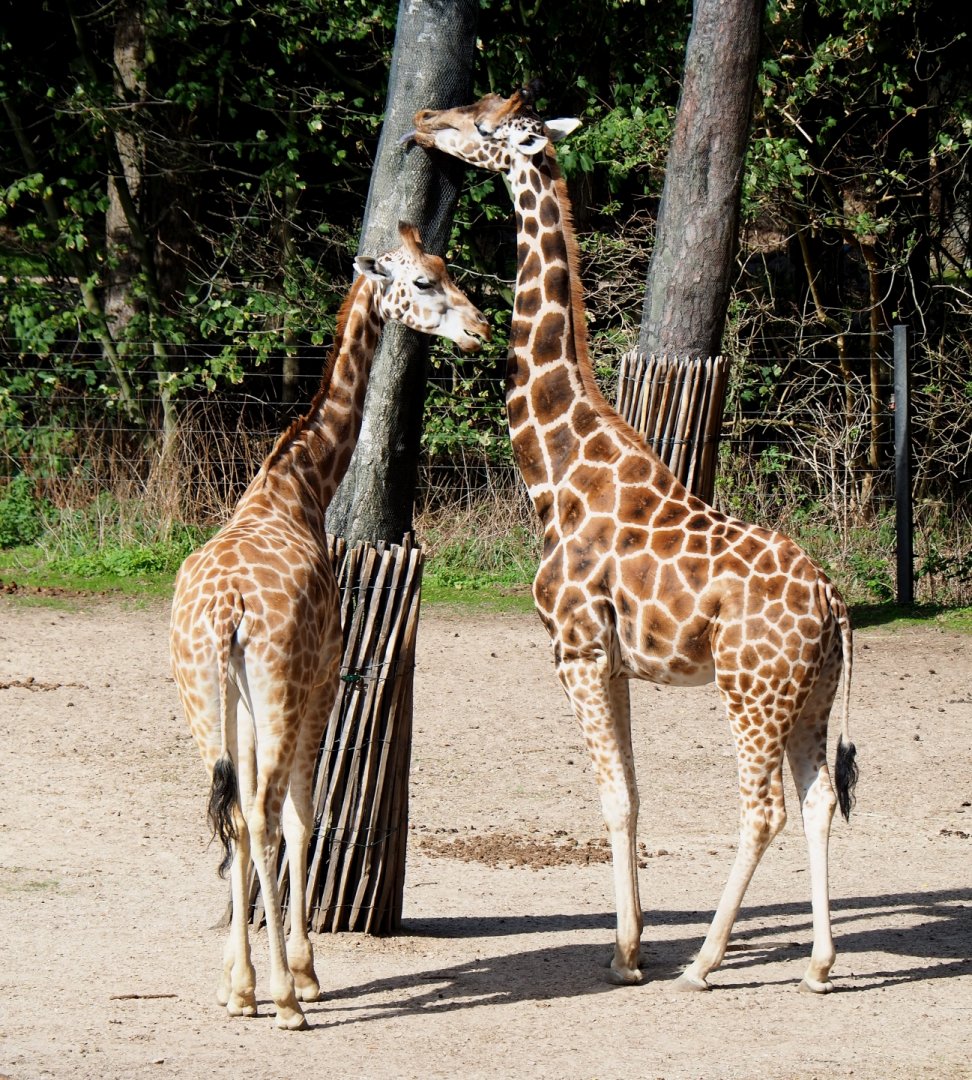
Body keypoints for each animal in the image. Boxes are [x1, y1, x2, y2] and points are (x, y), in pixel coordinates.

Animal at [170, 222, 489, 1029]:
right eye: (425, 280)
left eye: (445, 266)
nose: (479, 329)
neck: (300, 483)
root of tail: (225, 612)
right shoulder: (322, 679)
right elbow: (302, 817)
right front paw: (304, 975)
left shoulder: (247, 701)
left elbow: (259, 817)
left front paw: (239, 984)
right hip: (280, 689)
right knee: (263, 811)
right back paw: (289, 1000)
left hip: (202, 697)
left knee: (232, 812)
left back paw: (247, 990)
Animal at [408, 91, 859, 993]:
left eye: (484, 123)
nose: (423, 122)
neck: (556, 474)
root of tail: (834, 605)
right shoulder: (613, 662)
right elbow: (635, 797)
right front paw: (634, 942)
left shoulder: (575, 649)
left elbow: (612, 798)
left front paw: (625, 956)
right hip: (810, 694)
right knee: (819, 800)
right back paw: (820, 963)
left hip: (750, 691)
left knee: (763, 808)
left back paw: (706, 962)